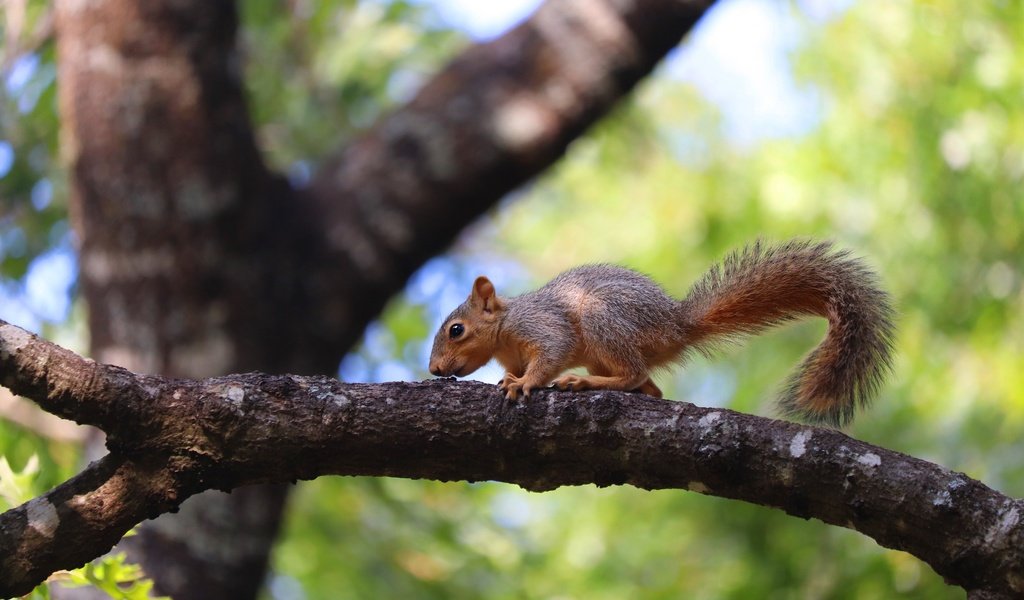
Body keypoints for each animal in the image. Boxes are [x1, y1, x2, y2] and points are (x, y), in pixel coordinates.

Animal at [428, 238, 892, 425]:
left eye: (456, 330)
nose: (433, 370)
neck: (505, 328)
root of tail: (676, 326)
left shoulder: (542, 324)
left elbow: (551, 353)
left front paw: (524, 383)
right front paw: (509, 377)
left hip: (604, 319)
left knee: (633, 374)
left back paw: (583, 382)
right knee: (649, 388)